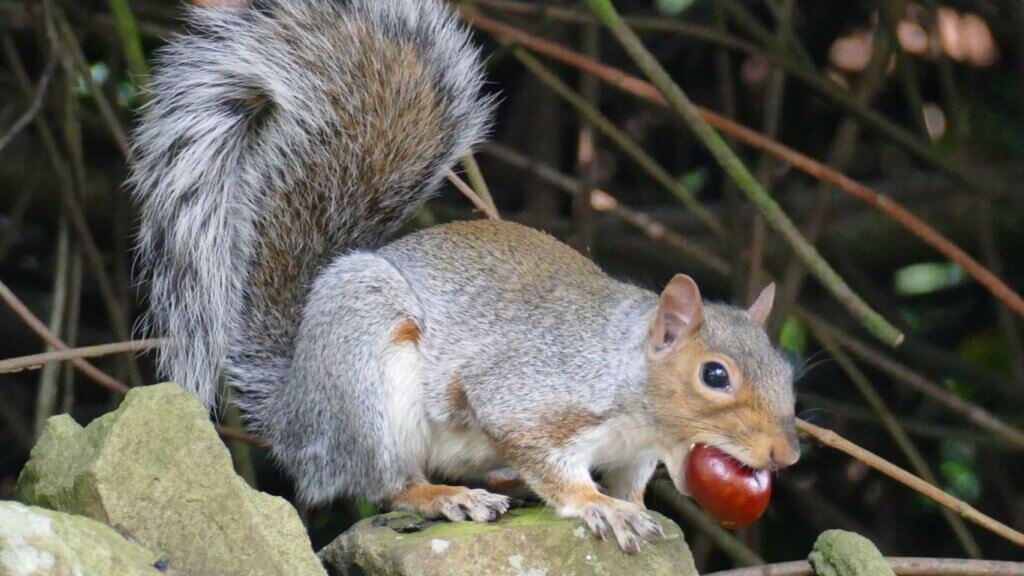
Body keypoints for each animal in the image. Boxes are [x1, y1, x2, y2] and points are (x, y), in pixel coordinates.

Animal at [130, 0, 800, 553]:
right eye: (715, 375)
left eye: (786, 370)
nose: (786, 454)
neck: (630, 383)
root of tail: (296, 413)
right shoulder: (530, 393)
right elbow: (543, 456)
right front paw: (596, 505)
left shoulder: (638, 454)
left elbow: (632, 484)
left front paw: (633, 508)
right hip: (366, 379)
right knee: (386, 483)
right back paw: (445, 496)